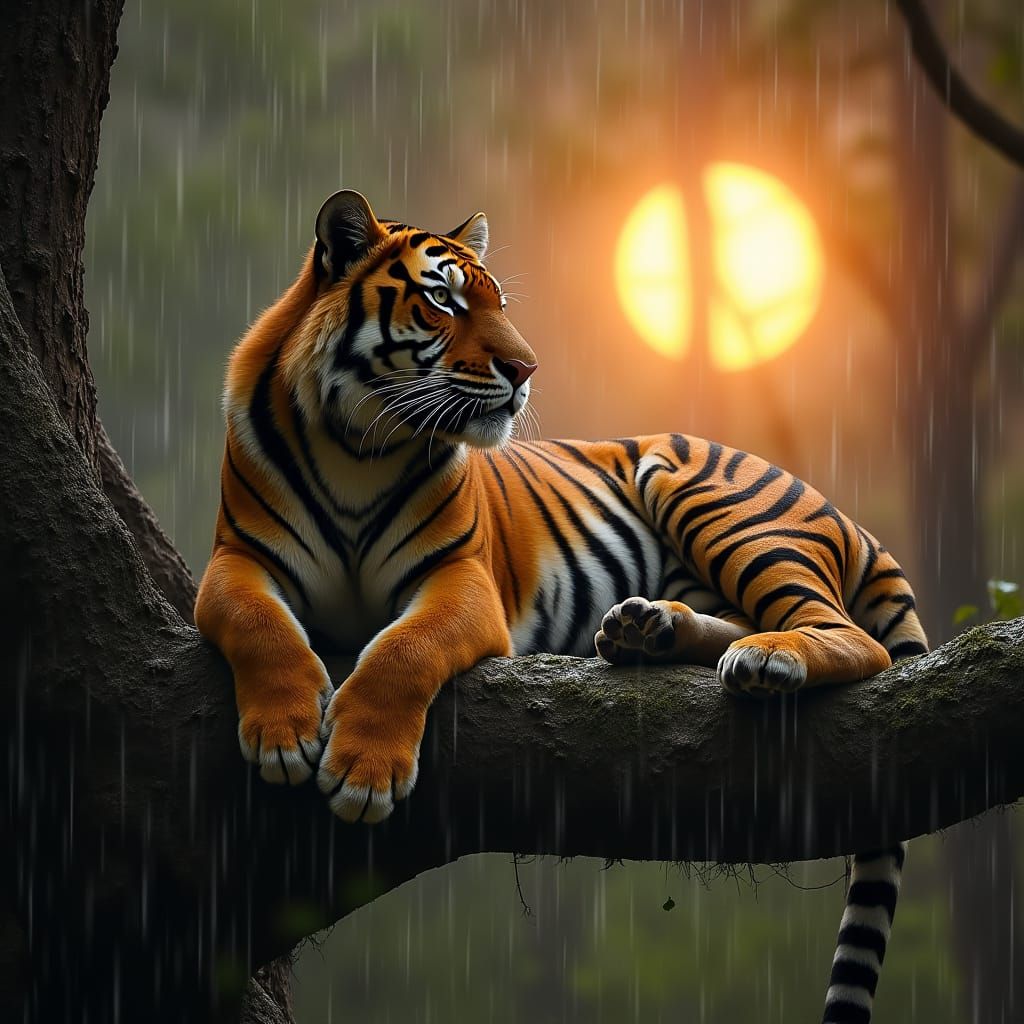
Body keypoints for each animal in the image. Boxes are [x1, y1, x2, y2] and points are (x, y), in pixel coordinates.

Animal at [194, 190, 929, 1024]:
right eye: (443, 300)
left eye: (498, 304)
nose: (525, 369)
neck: (359, 443)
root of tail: (840, 511)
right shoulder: (236, 561)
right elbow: (260, 624)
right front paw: (284, 735)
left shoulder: (462, 581)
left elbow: (400, 651)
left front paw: (362, 772)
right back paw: (645, 631)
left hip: (712, 499)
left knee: (845, 635)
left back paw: (763, 659)